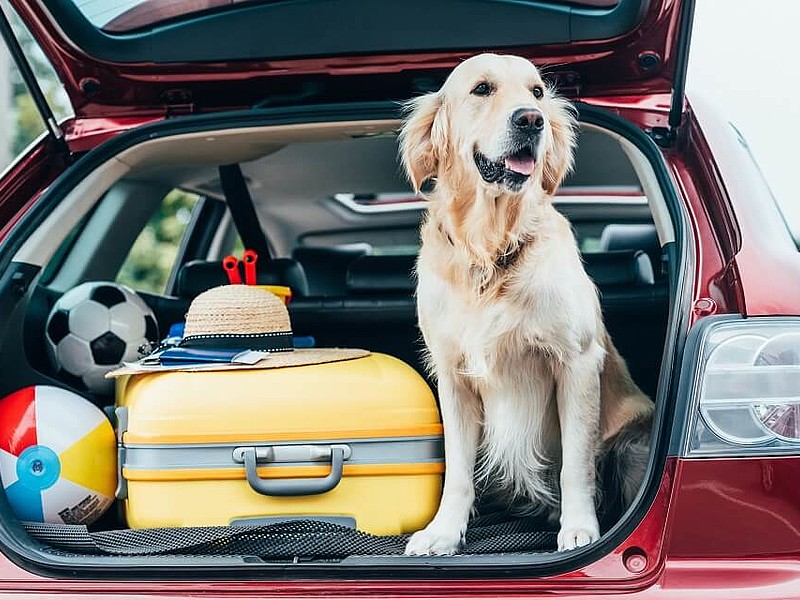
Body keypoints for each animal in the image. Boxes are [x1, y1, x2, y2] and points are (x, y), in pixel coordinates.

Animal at [400, 54, 656, 556]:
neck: (491, 250)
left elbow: (576, 463)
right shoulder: (453, 376)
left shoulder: (575, 362)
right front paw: (443, 532)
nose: (531, 120)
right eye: (482, 88)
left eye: (537, 92)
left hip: (633, 441)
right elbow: (457, 471)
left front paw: (579, 528)